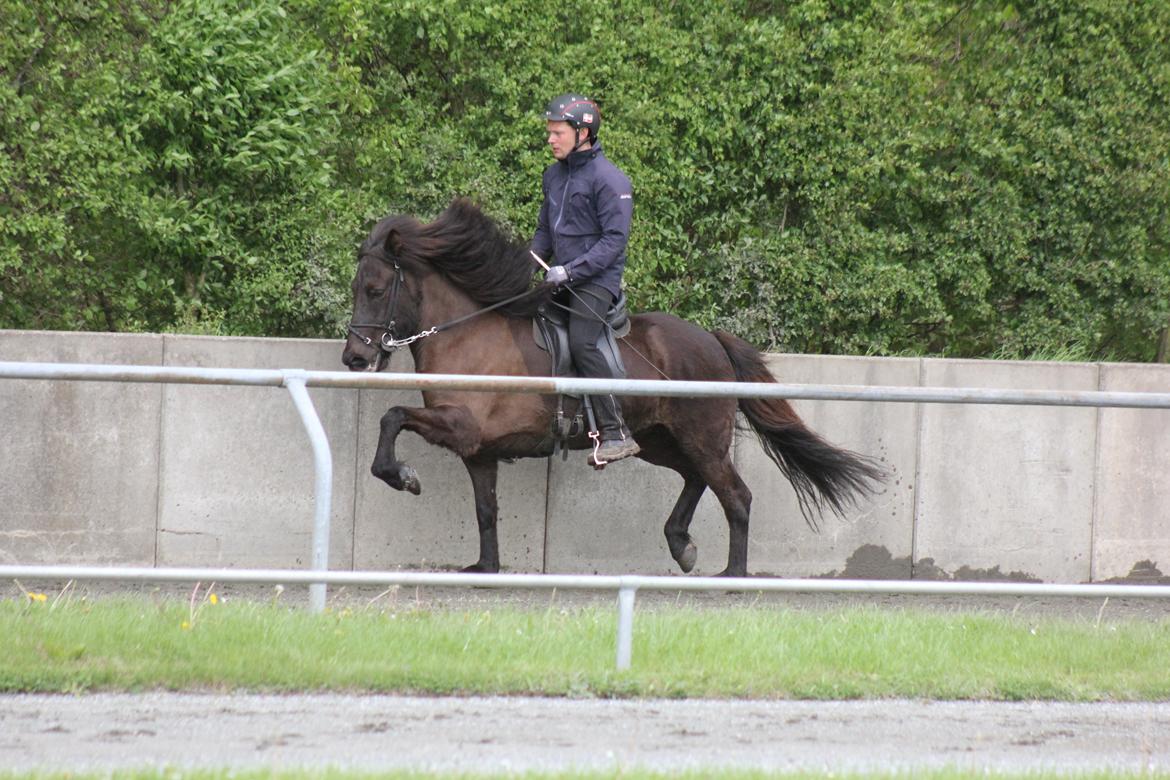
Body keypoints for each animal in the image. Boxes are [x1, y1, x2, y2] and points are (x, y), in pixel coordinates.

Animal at [339, 198, 879, 577]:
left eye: (374, 289)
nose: (355, 358)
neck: (466, 333)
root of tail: (711, 340)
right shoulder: (479, 450)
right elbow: (486, 511)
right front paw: (486, 568)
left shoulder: (461, 426)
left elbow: (392, 417)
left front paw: (402, 475)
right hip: (659, 440)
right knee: (695, 478)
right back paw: (681, 544)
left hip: (701, 436)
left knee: (736, 495)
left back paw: (733, 575)